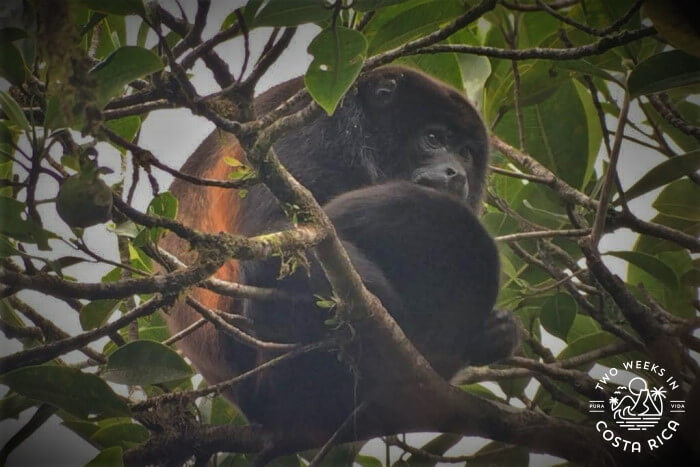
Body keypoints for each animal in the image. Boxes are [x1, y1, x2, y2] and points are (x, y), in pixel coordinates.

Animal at [163, 66, 519, 439]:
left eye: (466, 153)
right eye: (434, 138)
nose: (457, 173)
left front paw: (500, 329)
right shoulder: (311, 132)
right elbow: (267, 242)